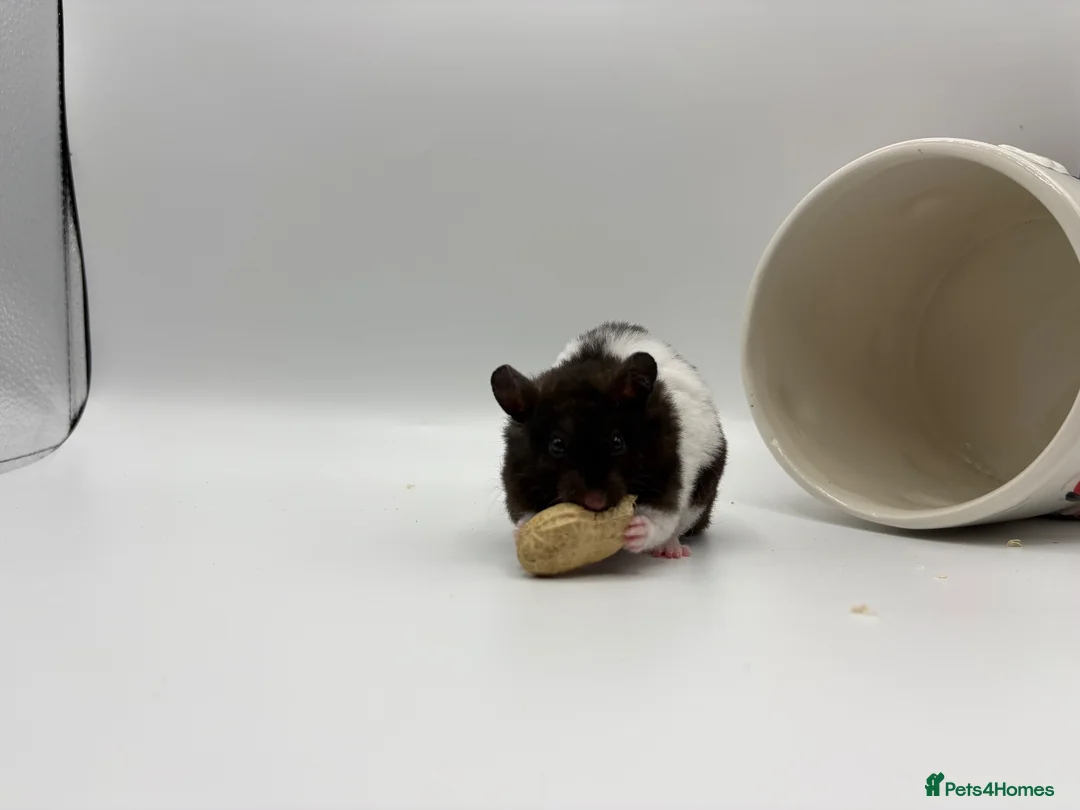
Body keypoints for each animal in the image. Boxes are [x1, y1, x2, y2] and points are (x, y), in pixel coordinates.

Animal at [490, 321, 727, 559]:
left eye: (617, 442)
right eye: (556, 445)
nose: (596, 502)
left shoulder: (669, 472)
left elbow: (661, 516)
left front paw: (635, 530)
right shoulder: (518, 472)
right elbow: (523, 510)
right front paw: (523, 531)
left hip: (703, 488)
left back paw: (671, 551)